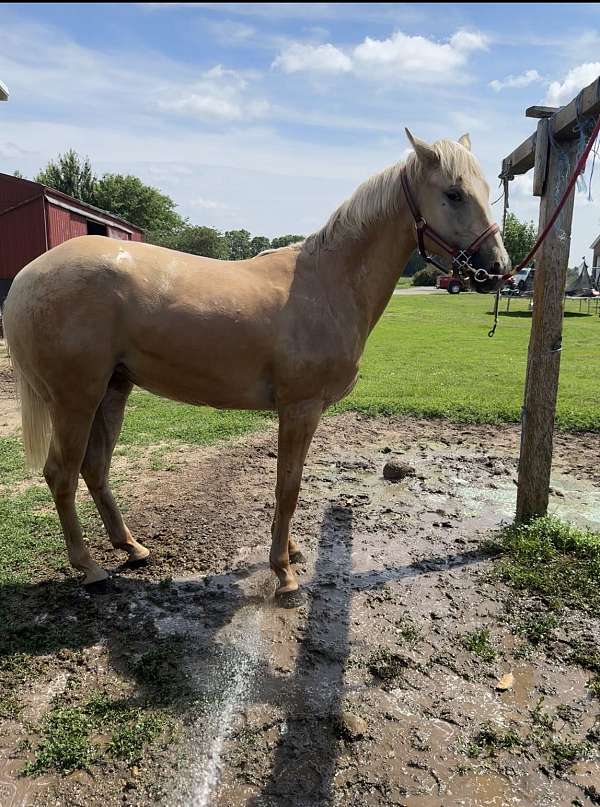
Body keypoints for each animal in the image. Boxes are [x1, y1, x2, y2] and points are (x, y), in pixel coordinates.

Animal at [3, 130, 510, 603]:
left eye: (487, 189)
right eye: (454, 193)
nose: (499, 269)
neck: (328, 283)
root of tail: (27, 277)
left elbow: (290, 485)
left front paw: (291, 551)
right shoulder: (300, 408)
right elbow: (288, 487)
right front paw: (283, 572)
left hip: (113, 390)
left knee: (95, 469)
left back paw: (132, 548)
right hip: (75, 398)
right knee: (61, 474)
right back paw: (89, 568)